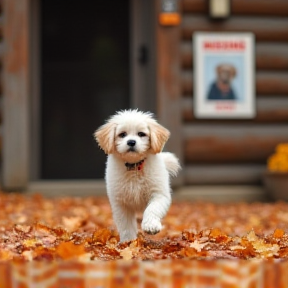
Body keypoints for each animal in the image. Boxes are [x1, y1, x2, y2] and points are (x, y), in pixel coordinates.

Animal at [94, 109, 180, 242]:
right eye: (122, 134)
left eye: (141, 134)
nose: (131, 142)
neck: (134, 167)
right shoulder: (120, 203)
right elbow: (126, 225)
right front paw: (128, 241)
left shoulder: (159, 194)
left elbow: (152, 208)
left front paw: (151, 225)